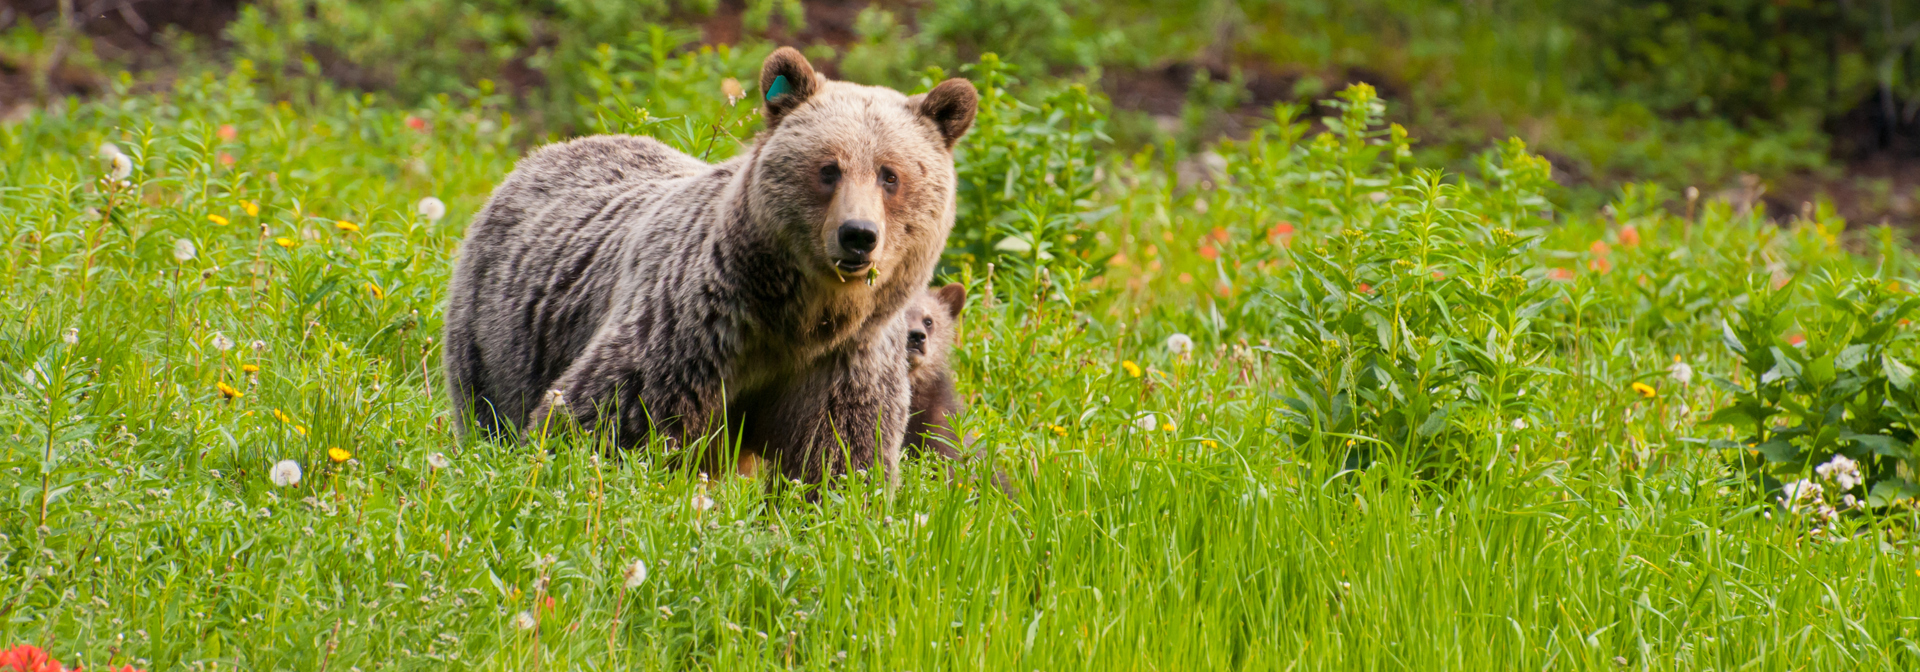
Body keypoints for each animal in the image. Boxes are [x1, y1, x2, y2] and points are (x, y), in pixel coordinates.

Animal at [439, 49, 975, 485]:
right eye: (828, 168)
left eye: (890, 175)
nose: (858, 235)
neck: (796, 320)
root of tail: (546, 151)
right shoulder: (695, 328)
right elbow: (608, 418)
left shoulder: (843, 364)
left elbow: (836, 459)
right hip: (500, 331)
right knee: (488, 408)